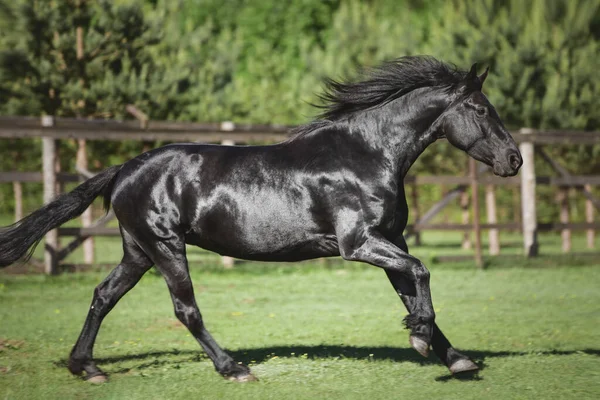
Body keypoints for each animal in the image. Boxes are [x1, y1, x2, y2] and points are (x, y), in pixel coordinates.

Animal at [0, 55, 520, 382]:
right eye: (480, 108)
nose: (514, 160)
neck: (367, 154)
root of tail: (126, 169)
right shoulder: (360, 243)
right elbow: (422, 274)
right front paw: (421, 341)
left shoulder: (392, 239)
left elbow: (412, 291)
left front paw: (453, 357)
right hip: (165, 246)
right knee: (185, 309)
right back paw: (234, 369)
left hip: (138, 251)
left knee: (103, 296)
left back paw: (87, 367)